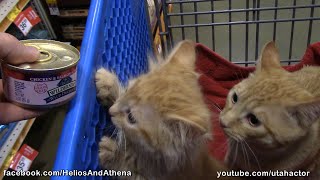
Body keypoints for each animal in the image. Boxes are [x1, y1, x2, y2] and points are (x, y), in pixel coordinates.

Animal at [95, 40, 230, 180]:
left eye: (131, 118)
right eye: (128, 89)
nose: (111, 111)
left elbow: (129, 170)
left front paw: (112, 153)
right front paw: (107, 84)